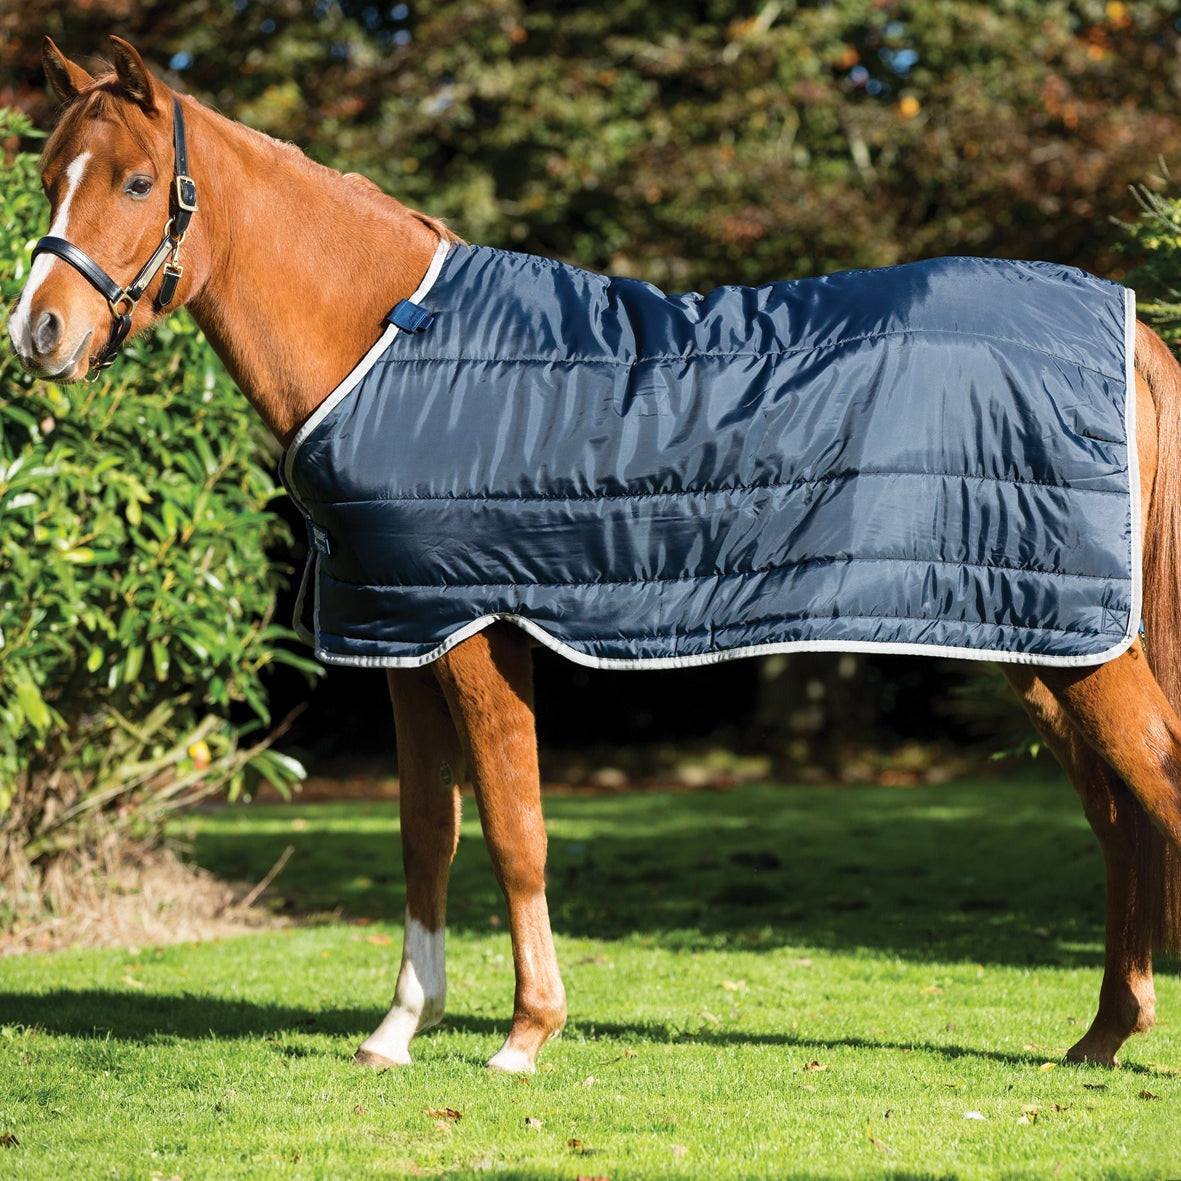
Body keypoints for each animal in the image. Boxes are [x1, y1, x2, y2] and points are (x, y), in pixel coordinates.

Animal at [8, 36, 1181, 1076]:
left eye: (137, 180)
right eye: (49, 172)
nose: (39, 332)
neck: (388, 343)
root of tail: (1122, 327)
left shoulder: (475, 628)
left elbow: (513, 826)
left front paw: (525, 1033)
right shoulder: (402, 634)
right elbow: (425, 831)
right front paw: (398, 1028)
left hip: (1075, 648)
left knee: (1153, 783)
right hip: (1040, 644)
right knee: (1118, 813)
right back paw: (1102, 1033)